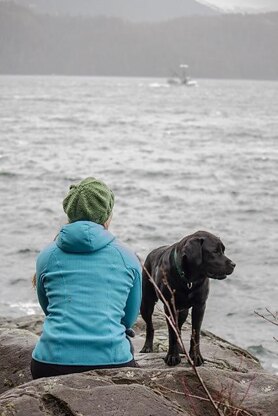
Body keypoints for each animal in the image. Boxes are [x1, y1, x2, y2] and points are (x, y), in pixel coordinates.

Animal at [140, 232, 236, 366]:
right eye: (215, 251)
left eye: (223, 250)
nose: (233, 264)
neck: (189, 280)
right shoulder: (170, 306)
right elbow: (172, 334)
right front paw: (172, 357)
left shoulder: (200, 306)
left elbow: (195, 333)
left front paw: (195, 357)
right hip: (146, 303)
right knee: (150, 326)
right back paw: (147, 346)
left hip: (183, 312)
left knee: (179, 328)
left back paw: (181, 349)